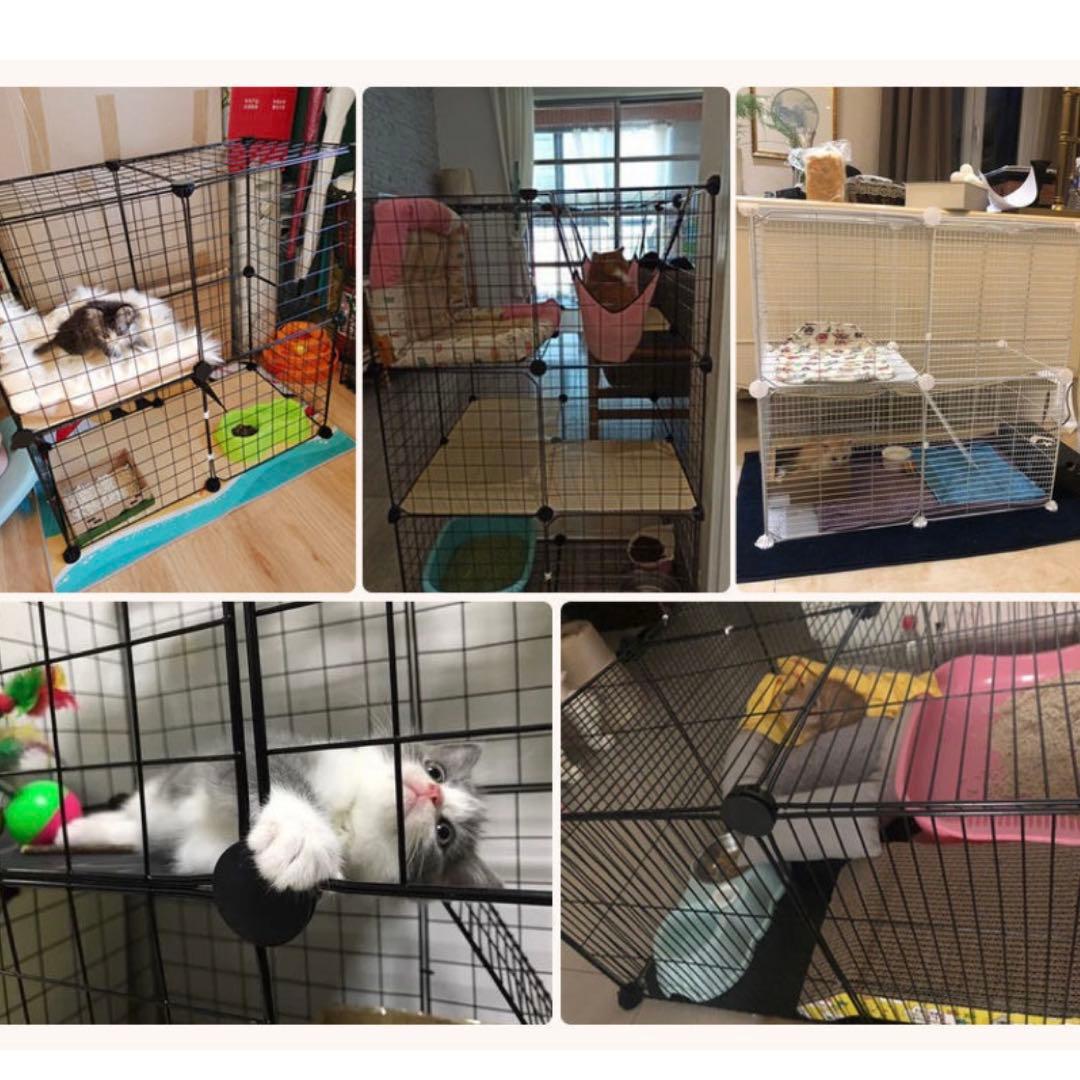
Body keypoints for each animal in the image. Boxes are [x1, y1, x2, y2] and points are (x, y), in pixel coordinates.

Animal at [50, 737, 501, 893]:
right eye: (435, 770)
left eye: (444, 833)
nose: (431, 792)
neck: (351, 813)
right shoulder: (264, 751)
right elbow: (259, 767)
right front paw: (302, 838)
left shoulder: (201, 853)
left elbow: (203, 856)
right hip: (160, 787)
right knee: (137, 812)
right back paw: (75, 829)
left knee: (137, 833)